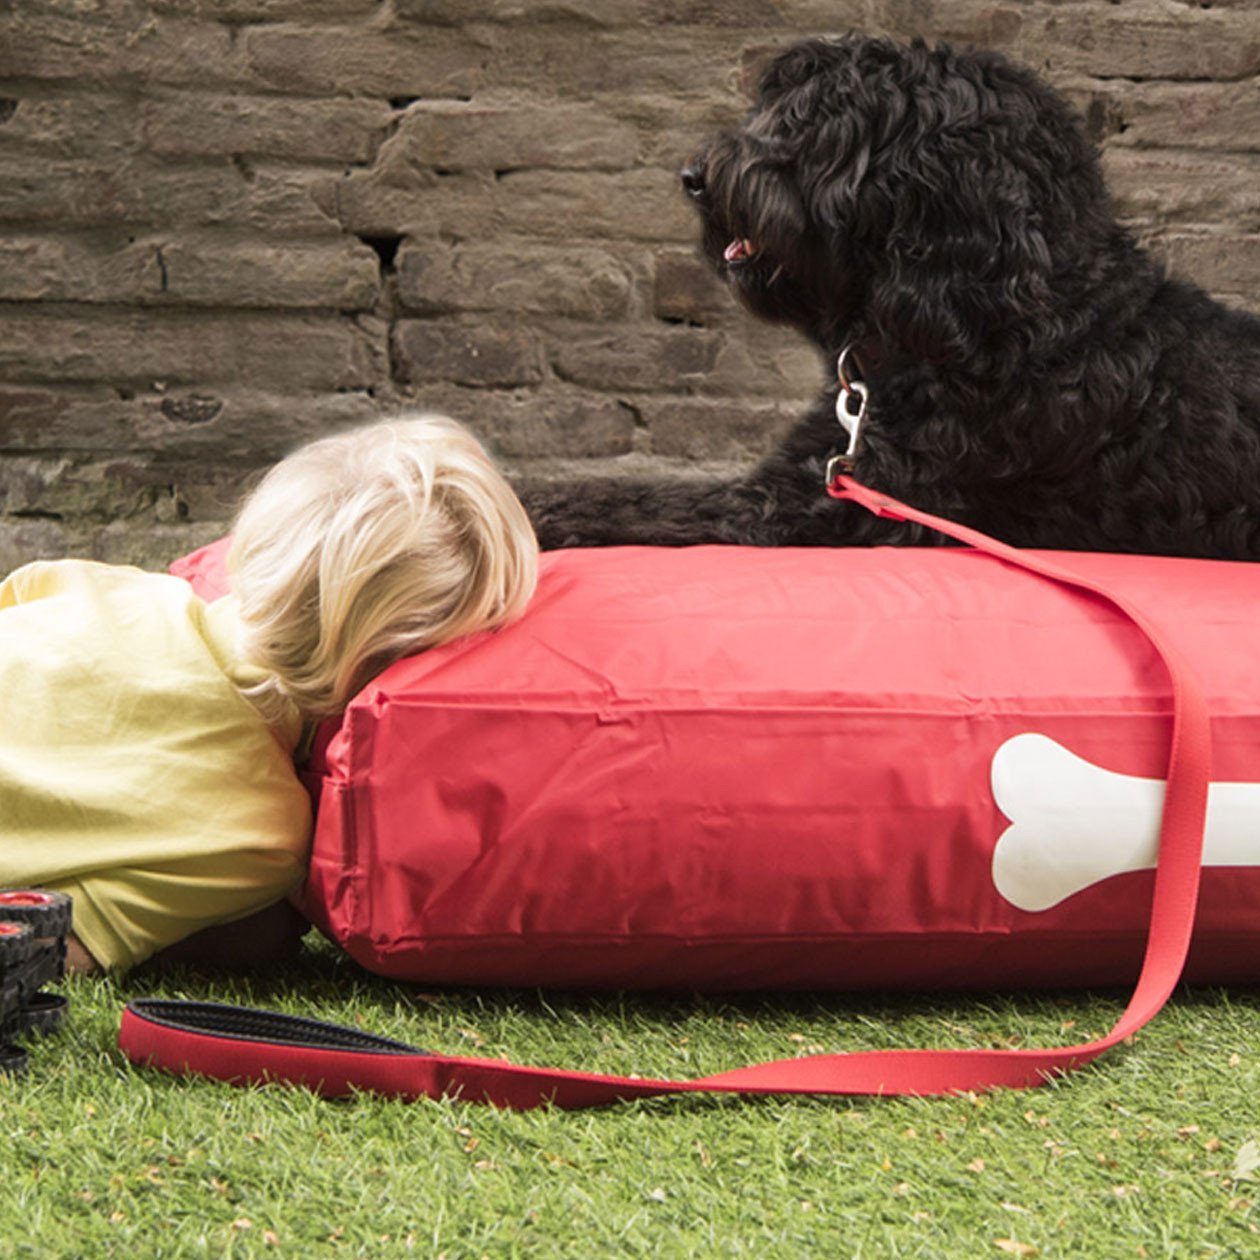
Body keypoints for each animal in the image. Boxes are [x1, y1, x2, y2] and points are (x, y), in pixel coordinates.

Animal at [516, 36, 1260, 556]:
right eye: (774, 109)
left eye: (821, 127)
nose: (693, 176)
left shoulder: (831, 506)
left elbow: (654, 502)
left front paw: (538, 506)